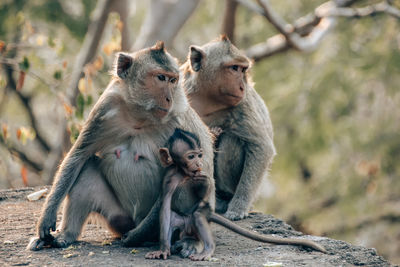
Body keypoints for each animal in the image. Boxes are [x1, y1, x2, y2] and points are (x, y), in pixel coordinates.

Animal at [27, 42, 216, 260]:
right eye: (161, 78)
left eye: (173, 80)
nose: (169, 98)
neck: (140, 117)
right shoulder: (105, 108)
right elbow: (78, 156)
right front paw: (46, 219)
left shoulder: (179, 120)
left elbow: (179, 179)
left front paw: (137, 236)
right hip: (118, 218)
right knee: (87, 169)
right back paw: (66, 235)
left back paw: (185, 241)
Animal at [145, 129, 326, 262]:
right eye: (191, 156)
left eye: (199, 155)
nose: (198, 163)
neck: (183, 174)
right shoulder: (169, 177)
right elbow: (165, 206)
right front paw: (163, 249)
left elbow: (204, 193)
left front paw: (204, 182)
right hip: (181, 220)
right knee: (172, 217)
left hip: (199, 218)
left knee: (198, 215)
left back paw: (208, 249)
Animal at [182, 35, 278, 222]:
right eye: (234, 68)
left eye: (243, 69)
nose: (242, 86)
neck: (207, 98)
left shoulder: (242, 104)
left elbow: (262, 147)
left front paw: (238, 207)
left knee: (232, 139)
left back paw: (224, 199)